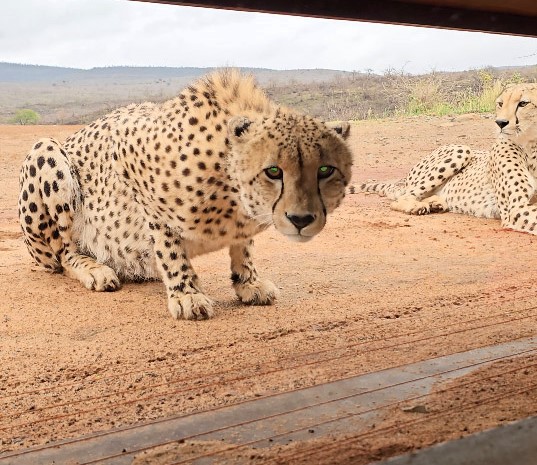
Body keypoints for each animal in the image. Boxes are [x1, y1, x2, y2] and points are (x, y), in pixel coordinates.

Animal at [17, 70, 352, 320]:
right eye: (273, 171)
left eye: (325, 170)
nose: (301, 218)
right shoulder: (129, 155)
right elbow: (169, 244)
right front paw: (186, 293)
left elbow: (243, 246)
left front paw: (248, 282)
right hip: (46, 152)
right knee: (63, 253)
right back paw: (95, 269)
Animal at [352, 82, 536, 234]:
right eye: (500, 104)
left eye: (523, 103)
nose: (500, 123)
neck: (532, 146)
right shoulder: (515, 207)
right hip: (461, 149)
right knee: (401, 198)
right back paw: (417, 207)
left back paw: (436, 203)